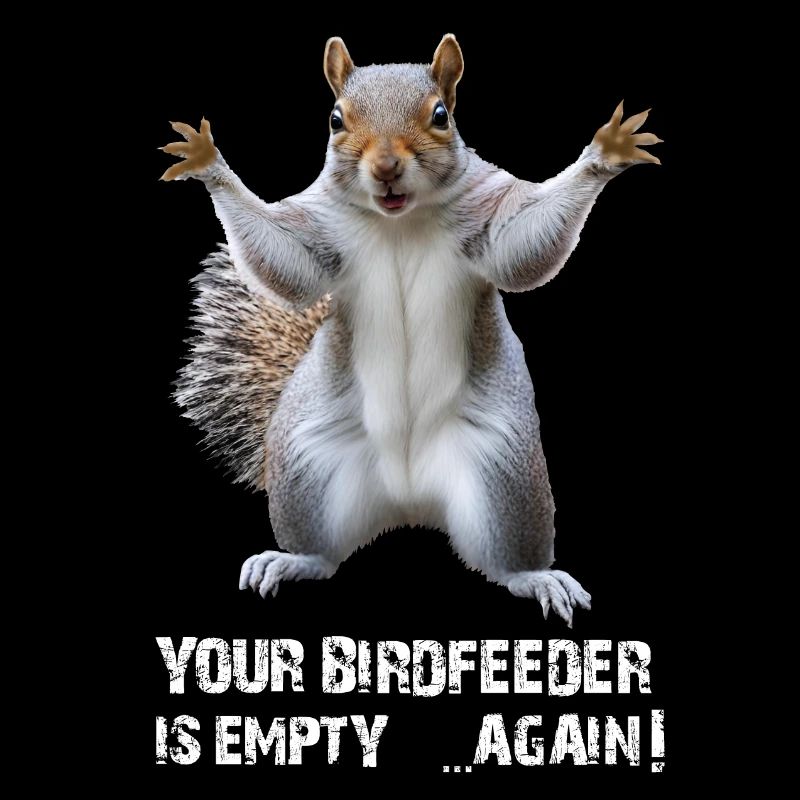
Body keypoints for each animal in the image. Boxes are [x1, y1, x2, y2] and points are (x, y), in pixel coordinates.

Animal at [163, 34, 661, 625]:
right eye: (335, 119)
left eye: (441, 115)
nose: (385, 167)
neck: (399, 219)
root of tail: (407, 498)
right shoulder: (320, 229)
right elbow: (291, 263)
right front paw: (206, 162)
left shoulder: (489, 213)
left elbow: (521, 248)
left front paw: (607, 153)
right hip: (306, 466)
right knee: (320, 549)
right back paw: (290, 560)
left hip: (506, 475)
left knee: (506, 556)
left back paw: (535, 576)